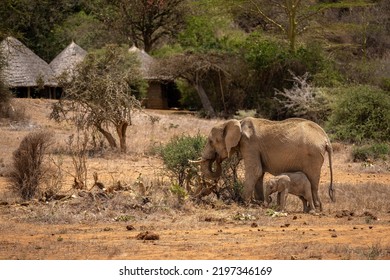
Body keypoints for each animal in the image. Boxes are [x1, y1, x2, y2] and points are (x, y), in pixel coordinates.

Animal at [198, 117, 336, 211]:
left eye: (211, 141)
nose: (217, 159)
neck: (238, 122)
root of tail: (326, 139)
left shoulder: (250, 144)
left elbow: (255, 170)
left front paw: (243, 204)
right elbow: (259, 174)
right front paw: (258, 203)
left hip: (313, 156)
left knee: (313, 181)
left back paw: (316, 209)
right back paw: (316, 208)